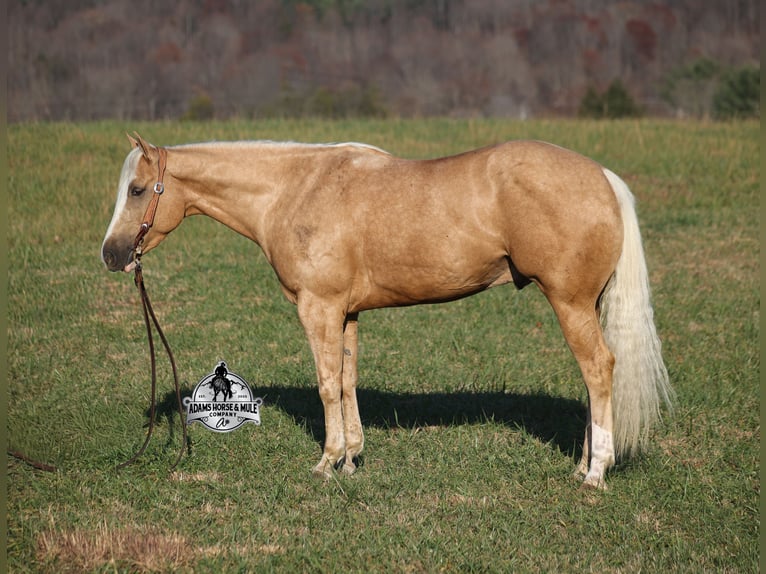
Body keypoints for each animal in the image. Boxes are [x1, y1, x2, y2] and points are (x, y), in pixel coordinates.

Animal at [101, 133, 673, 489]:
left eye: (137, 190)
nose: (111, 254)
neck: (293, 190)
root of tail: (602, 177)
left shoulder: (319, 309)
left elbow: (327, 384)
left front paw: (326, 462)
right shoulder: (348, 313)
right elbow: (348, 379)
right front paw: (352, 459)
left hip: (570, 303)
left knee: (598, 369)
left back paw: (595, 473)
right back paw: (582, 466)